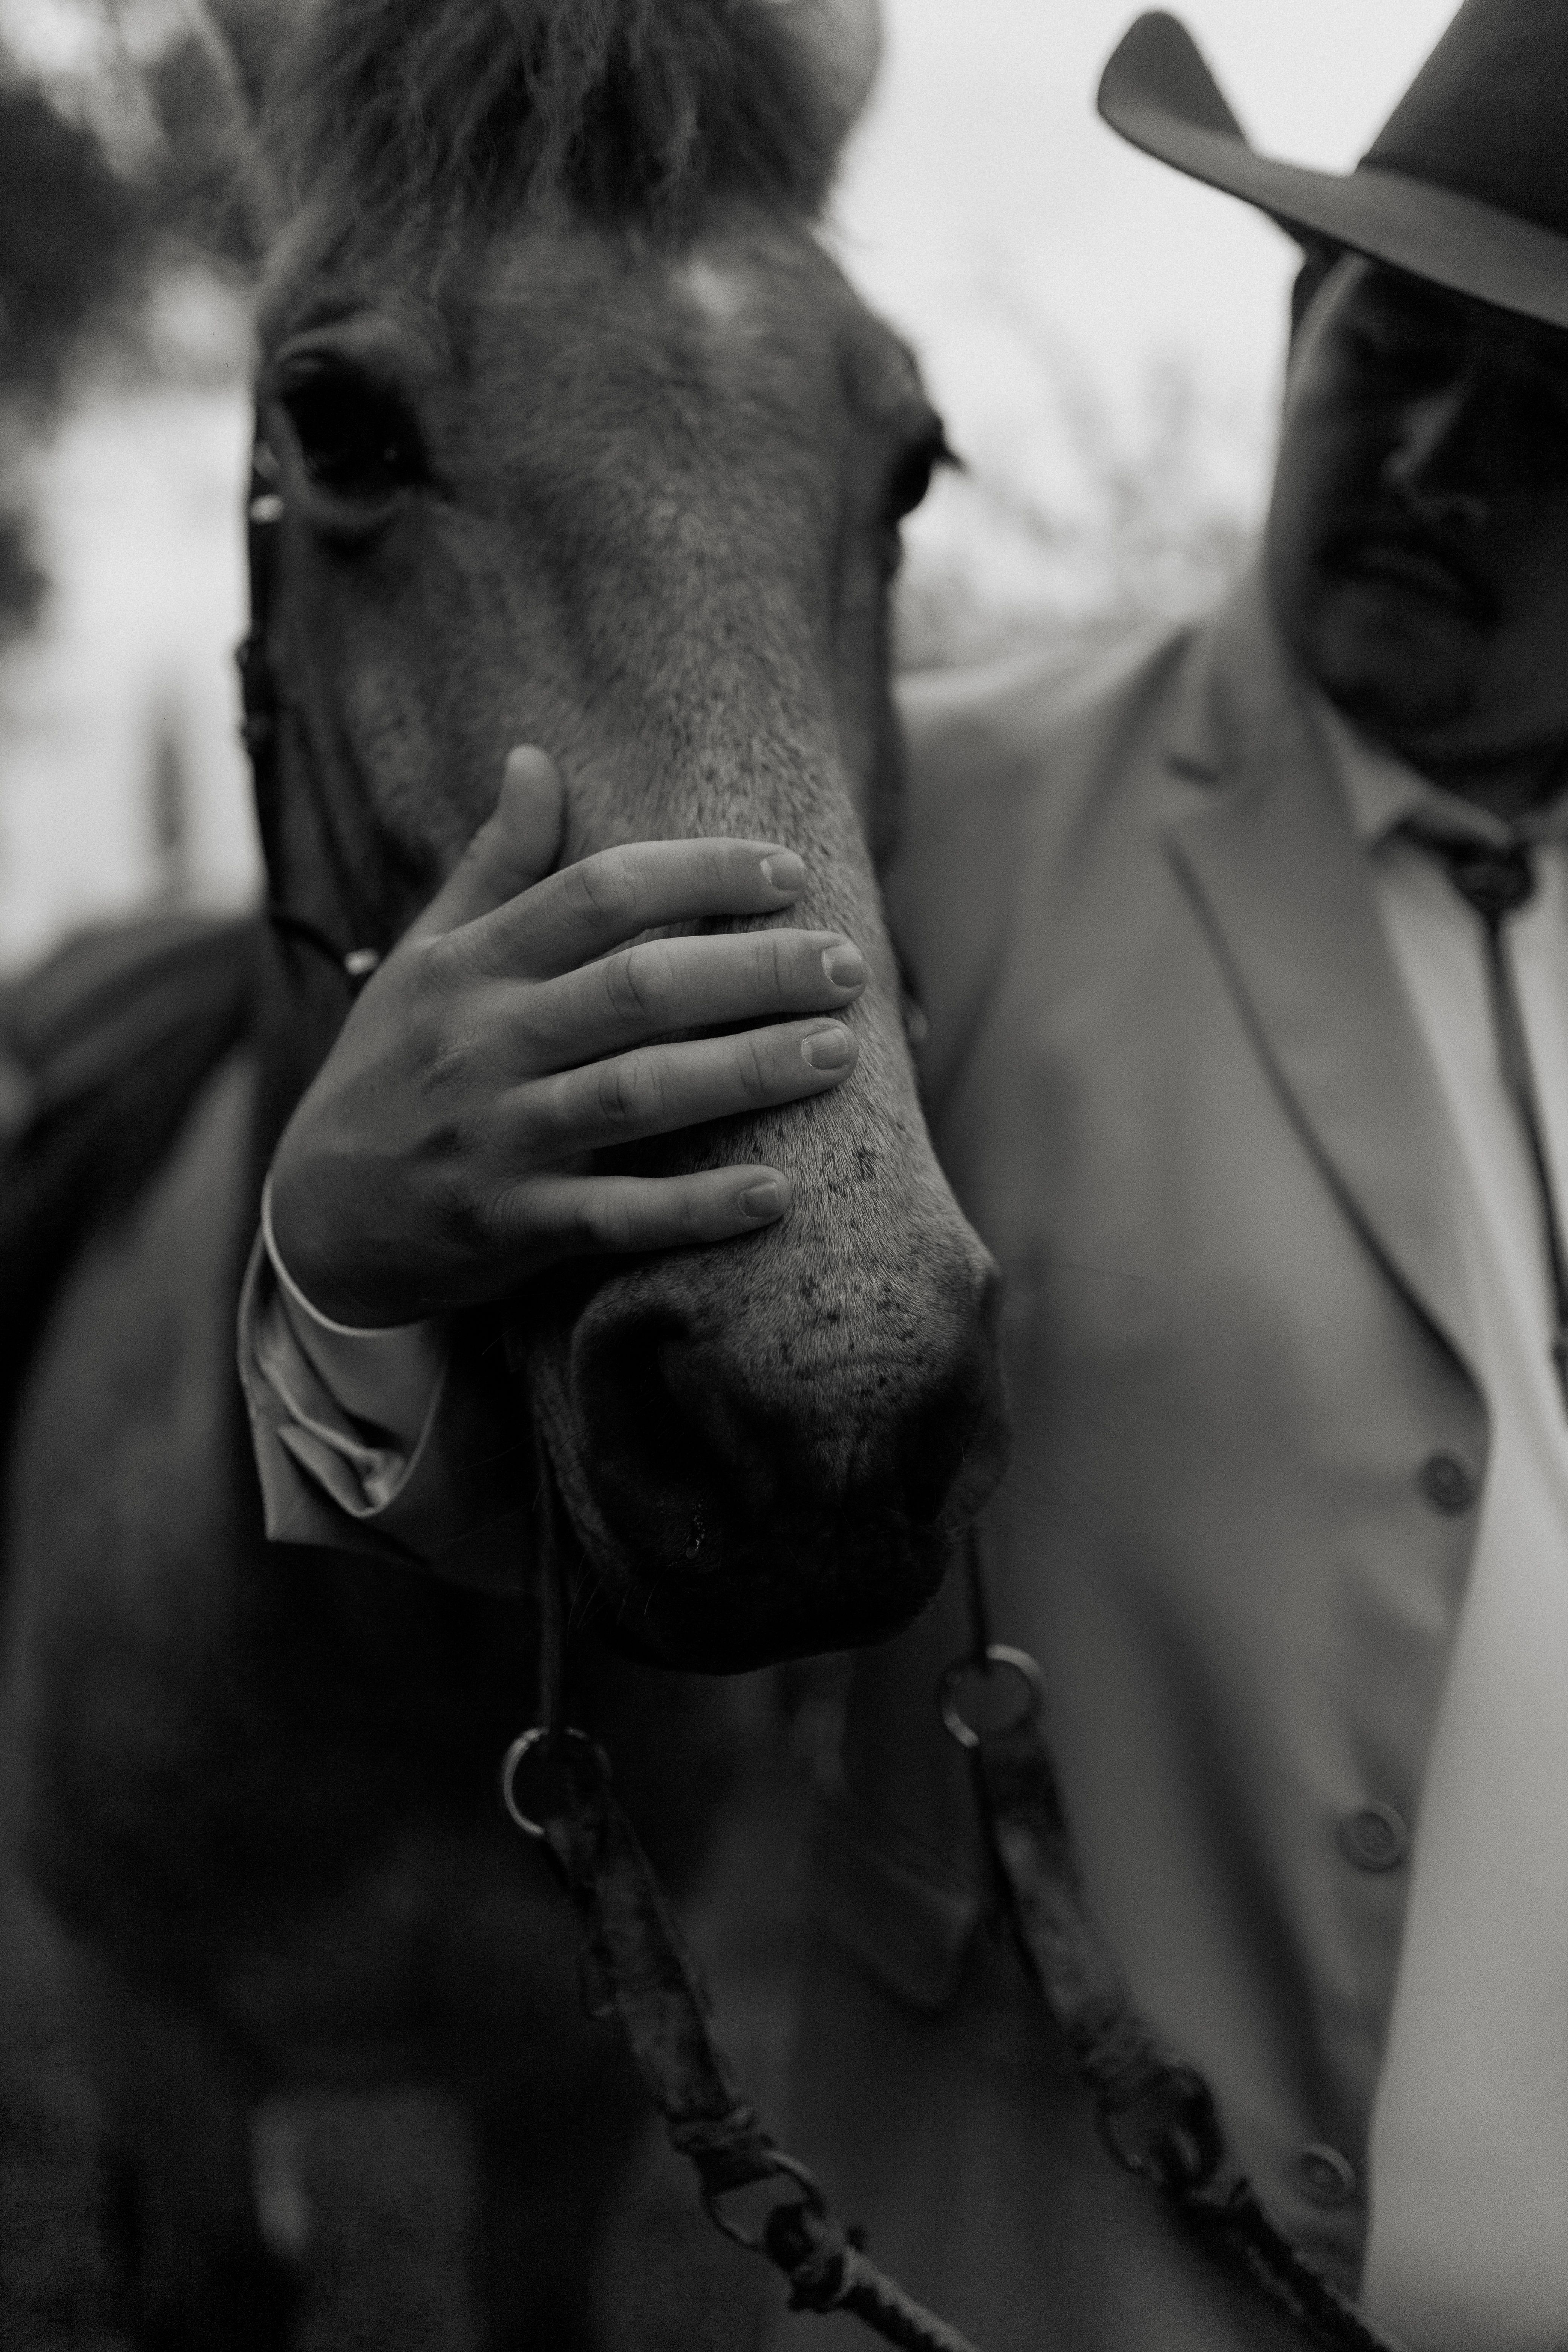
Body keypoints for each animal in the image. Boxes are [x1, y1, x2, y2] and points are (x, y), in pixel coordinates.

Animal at [0, 3, 1005, 2344]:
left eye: (911, 461)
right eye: (335, 423)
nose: (810, 1427)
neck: (370, 1637)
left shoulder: (563, 2111)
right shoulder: (163, 2043)